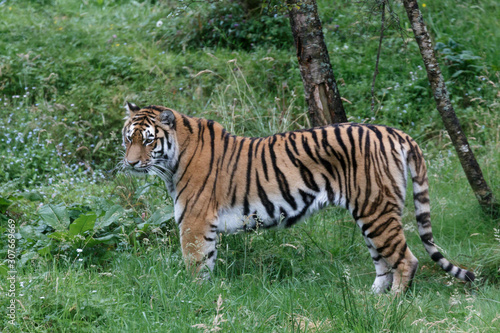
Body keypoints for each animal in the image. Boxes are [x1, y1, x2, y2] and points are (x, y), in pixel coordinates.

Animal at [122, 102, 476, 294]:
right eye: (128, 139)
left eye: (149, 140)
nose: (131, 163)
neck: (172, 159)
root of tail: (393, 132)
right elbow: (206, 263)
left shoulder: (194, 222)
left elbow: (196, 265)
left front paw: (195, 296)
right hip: (369, 212)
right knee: (382, 262)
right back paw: (370, 298)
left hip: (376, 209)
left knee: (405, 260)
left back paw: (391, 304)